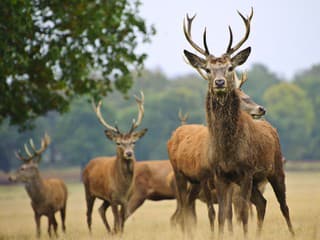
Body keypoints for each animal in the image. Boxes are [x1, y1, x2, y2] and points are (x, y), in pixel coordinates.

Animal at [82, 92, 148, 234]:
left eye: (133, 142)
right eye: (118, 143)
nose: (129, 153)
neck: (123, 187)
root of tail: (88, 164)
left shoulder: (125, 200)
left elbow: (121, 222)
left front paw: (119, 233)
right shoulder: (113, 197)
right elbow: (117, 221)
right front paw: (116, 232)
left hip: (105, 198)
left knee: (101, 209)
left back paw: (109, 232)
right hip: (88, 191)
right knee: (89, 214)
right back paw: (91, 233)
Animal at [169, 7, 294, 238]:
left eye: (229, 67)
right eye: (208, 69)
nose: (219, 82)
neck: (228, 150)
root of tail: (271, 128)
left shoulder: (246, 171)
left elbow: (242, 213)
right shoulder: (220, 174)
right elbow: (222, 215)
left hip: (275, 169)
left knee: (283, 206)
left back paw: (291, 233)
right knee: (262, 203)